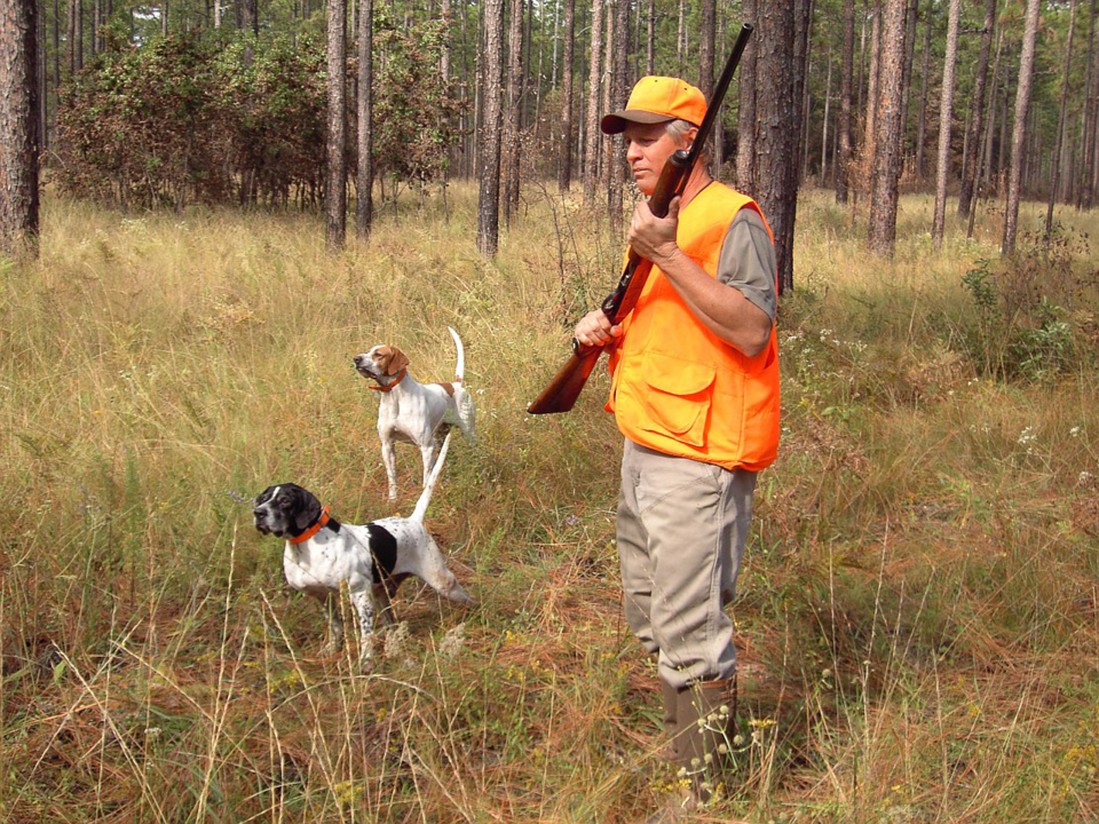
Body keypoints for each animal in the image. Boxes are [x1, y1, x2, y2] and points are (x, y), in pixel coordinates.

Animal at [252, 435, 472, 667]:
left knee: (467, 598)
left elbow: (366, 634)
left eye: (285, 500)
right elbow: (335, 626)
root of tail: (413, 521)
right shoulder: (323, 597)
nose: (258, 513)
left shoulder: (360, 595)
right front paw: (333, 649)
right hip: (382, 594)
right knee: (391, 622)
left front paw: (366, 661)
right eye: (263, 499)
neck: (307, 545)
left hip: (443, 582)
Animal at [351, 325, 472, 500]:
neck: (394, 397)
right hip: (440, 438)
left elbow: (426, 478)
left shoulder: (426, 447)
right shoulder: (387, 446)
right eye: (368, 351)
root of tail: (455, 384)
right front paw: (393, 499)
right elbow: (392, 477)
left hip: (468, 433)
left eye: (378, 354)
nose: (356, 359)